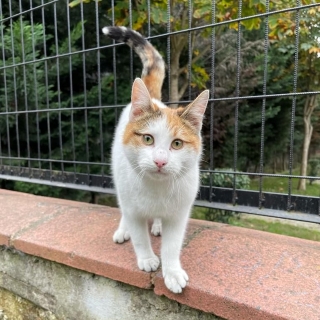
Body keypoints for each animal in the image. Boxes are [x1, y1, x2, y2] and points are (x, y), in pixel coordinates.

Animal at [101, 26, 209, 294]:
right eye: (148, 139)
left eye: (177, 144)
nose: (160, 161)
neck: (157, 190)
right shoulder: (133, 208)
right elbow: (140, 236)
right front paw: (147, 259)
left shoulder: (180, 213)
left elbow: (172, 245)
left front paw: (172, 272)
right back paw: (123, 230)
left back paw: (158, 225)